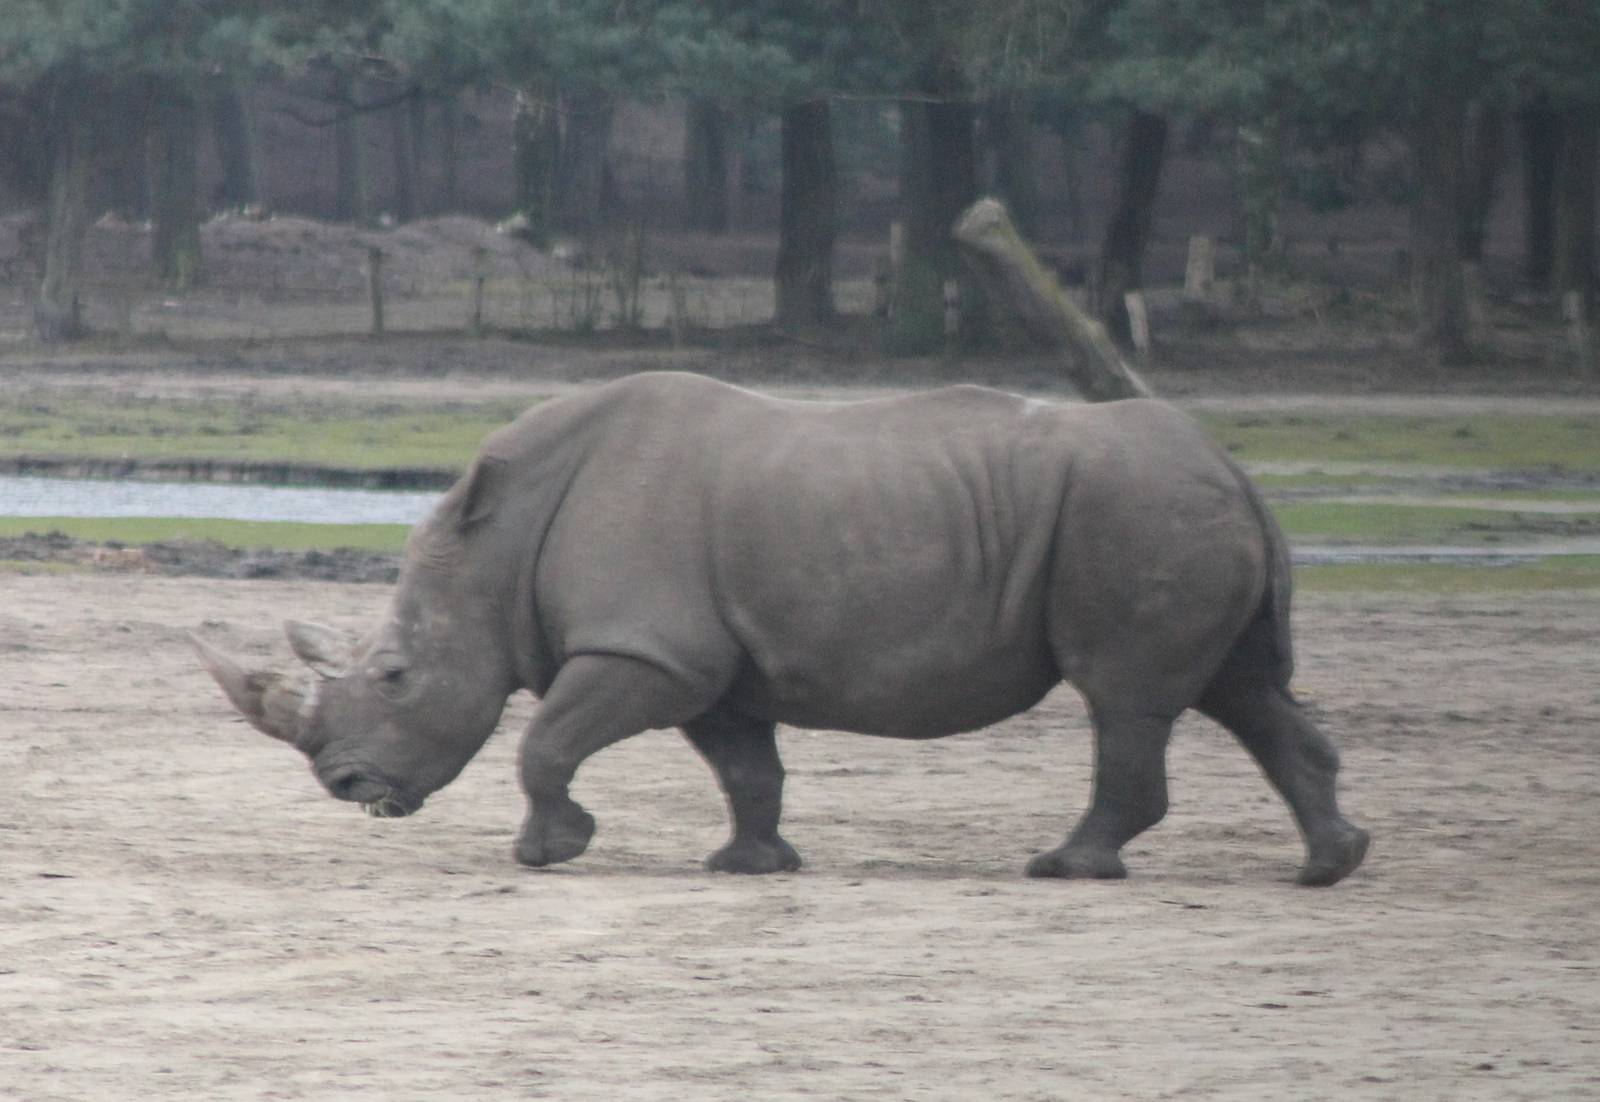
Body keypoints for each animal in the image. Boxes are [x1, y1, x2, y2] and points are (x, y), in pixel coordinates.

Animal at [193, 371, 1369, 885]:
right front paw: (750, 864)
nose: (346, 784)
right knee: (1243, 690)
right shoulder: (706, 659)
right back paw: (1330, 866)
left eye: (393, 673)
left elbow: (546, 739)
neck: (497, 547)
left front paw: (546, 852)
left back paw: (1065, 867)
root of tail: (1235, 469)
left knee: (1125, 696)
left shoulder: (647, 647)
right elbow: (745, 764)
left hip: (1137, 513)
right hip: (1175, 510)